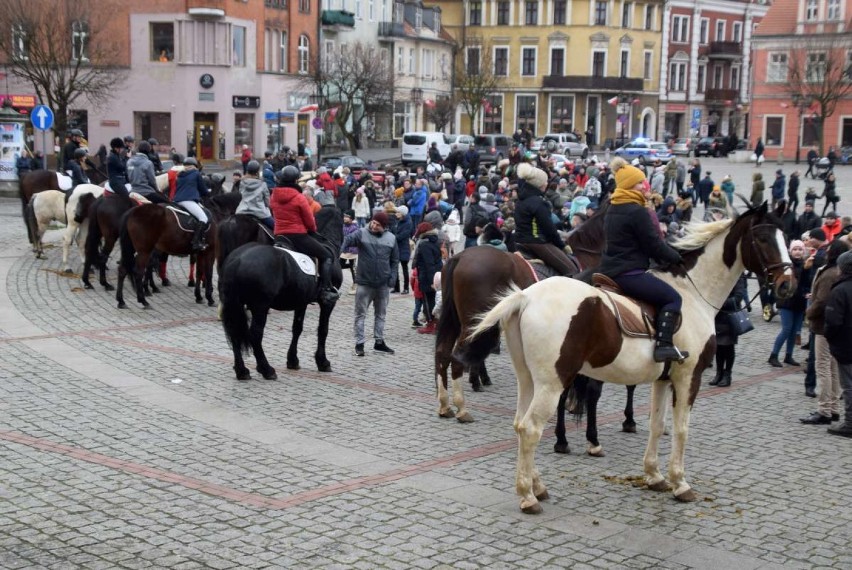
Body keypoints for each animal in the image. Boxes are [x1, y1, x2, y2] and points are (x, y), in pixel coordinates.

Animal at [220, 206, 346, 380]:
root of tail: (236, 260)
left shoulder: (302, 301)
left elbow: (297, 328)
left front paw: (292, 360)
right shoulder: (327, 303)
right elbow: (323, 329)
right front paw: (323, 362)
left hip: (235, 304)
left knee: (234, 332)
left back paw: (242, 371)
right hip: (260, 306)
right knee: (255, 334)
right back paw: (266, 369)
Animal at [470, 201, 796, 510]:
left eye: (784, 236)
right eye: (763, 239)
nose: (787, 284)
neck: (692, 293)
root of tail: (526, 296)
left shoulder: (663, 379)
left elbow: (657, 425)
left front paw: (654, 476)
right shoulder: (688, 376)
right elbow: (681, 428)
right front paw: (680, 483)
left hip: (528, 380)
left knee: (519, 424)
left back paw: (537, 485)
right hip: (552, 383)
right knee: (531, 429)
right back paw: (528, 496)